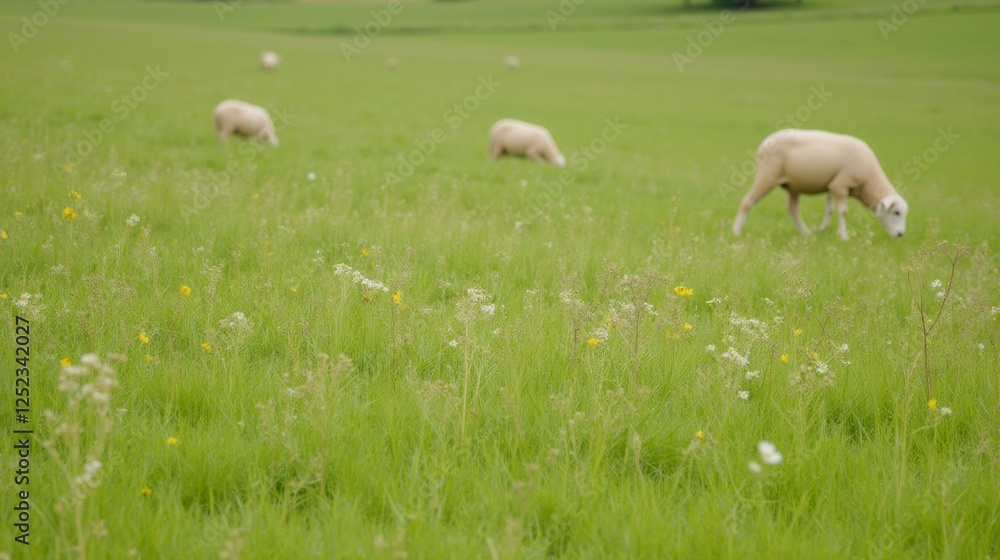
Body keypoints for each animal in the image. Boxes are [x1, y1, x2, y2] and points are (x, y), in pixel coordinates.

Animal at [731, 129, 908, 241]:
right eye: (896, 212)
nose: (901, 235)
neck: (868, 181)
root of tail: (765, 142)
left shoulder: (831, 186)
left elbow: (829, 209)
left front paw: (822, 230)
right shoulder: (841, 185)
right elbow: (843, 212)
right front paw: (843, 237)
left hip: (793, 185)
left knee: (792, 208)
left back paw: (806, 232)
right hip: (767, 175)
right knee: (747, 201)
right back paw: (736, 231)